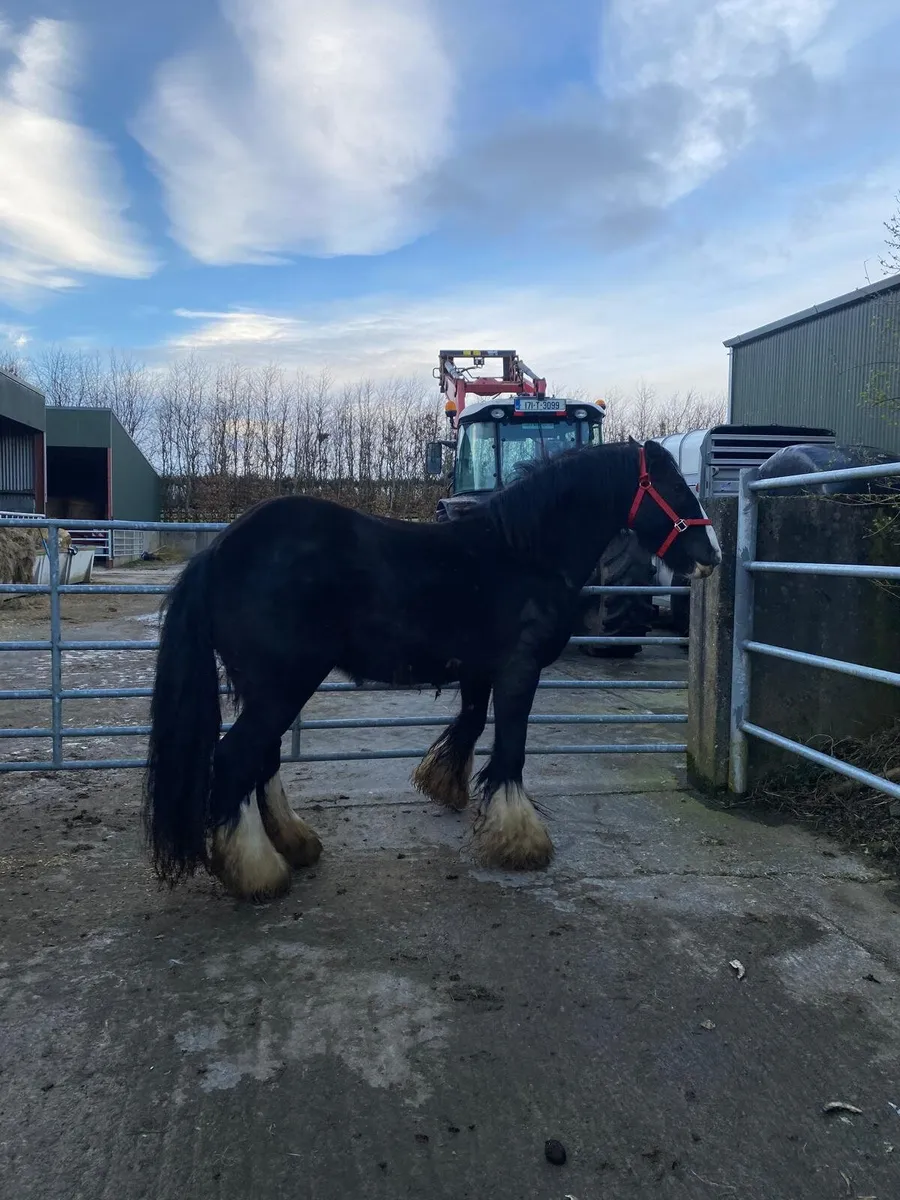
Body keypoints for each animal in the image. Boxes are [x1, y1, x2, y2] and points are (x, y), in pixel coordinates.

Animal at [142, 437, 721, 902]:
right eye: (672, 484)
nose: (709, 556)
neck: (523, 555)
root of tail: (217, 552)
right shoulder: (519, 670)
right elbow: (510, 748)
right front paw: (521, 839)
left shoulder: (479, 671)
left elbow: (471, 725)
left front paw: (448, 787)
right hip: (282, 686)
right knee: (235, 759)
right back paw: (257, 874)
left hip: (264, 687)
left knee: (261, 762)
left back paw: (294, 844)